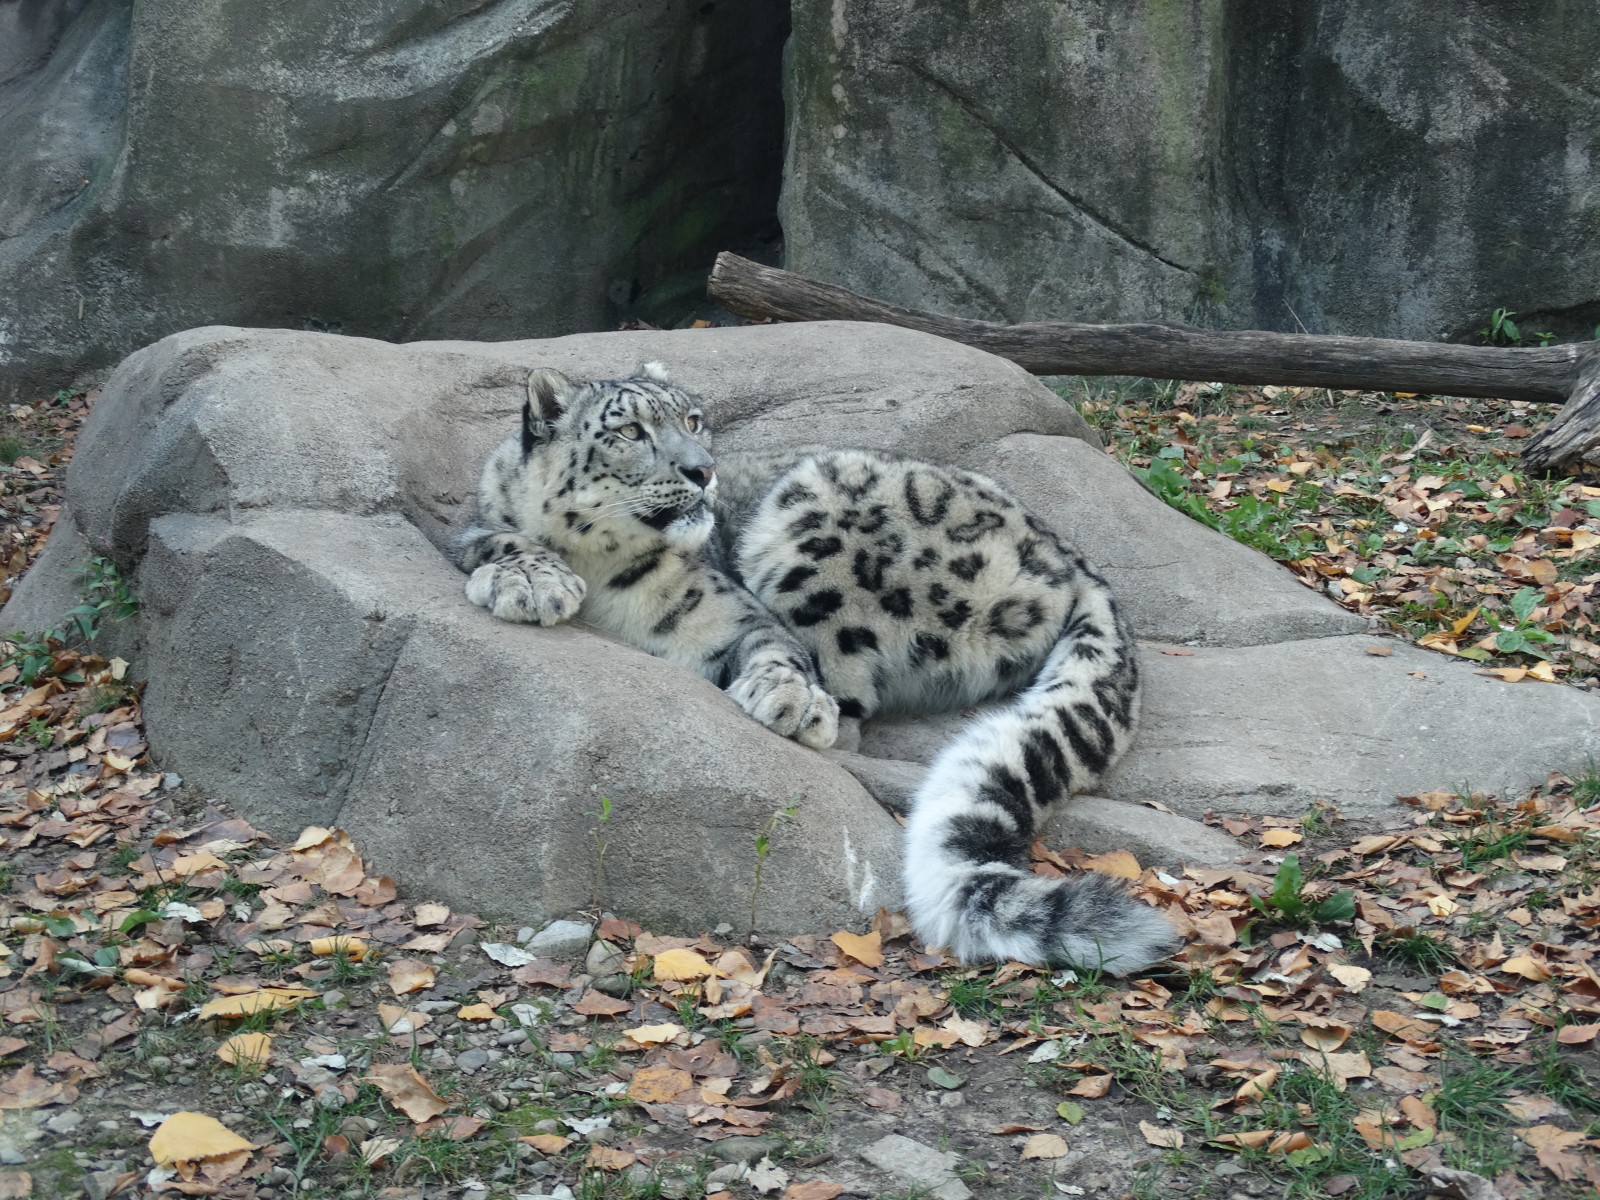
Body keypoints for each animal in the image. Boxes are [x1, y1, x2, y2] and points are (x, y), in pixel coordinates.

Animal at [457, 361, 1184, 972]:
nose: (703, 471)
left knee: (850, 709)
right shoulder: (483, 520)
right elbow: (491, 536)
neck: (608, 568)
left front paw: (791, 700)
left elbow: (775, 648)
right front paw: (534, 583)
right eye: (630, 431)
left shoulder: (735, 614)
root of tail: (1073, 558)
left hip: (814, 514)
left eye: (692, 419)